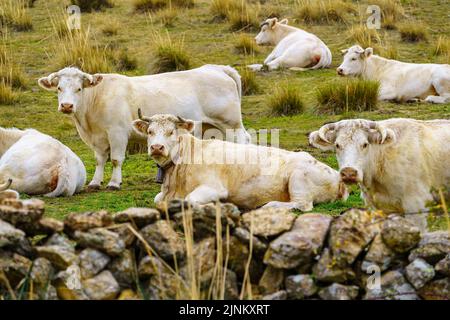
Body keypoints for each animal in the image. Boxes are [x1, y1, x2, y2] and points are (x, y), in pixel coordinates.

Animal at [37, 65, 250, 190]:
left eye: (79, 88)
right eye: (59, 88)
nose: (66, 106)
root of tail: (218, 68)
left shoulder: (117, 133)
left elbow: (116, 159)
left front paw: (114, 183)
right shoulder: (98, 138)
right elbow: (99, 160)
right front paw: (95, 182)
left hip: (231, 123)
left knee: (244, 140)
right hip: (211, 127)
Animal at [132, 112, 346, 210]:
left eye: (171, 132)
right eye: (150, 132)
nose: (156, 147)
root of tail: (337, 176)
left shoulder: (214, 187)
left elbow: (190, 200)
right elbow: (157, 200)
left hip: (298, 179)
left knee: (302, 205)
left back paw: (268, 205)